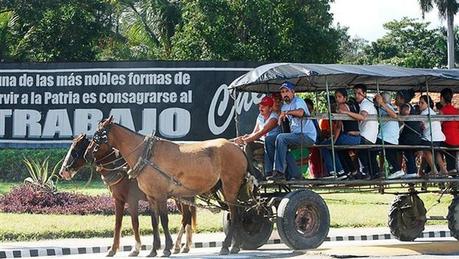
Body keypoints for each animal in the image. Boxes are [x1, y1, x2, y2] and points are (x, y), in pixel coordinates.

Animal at [60, 135, 197, 256]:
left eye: (75, 151)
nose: (63, 172)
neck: (121, 170)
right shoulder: (118, 200)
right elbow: (118, 223)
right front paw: (112, 249)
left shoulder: (132, 200)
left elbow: (135, 222)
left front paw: (136, 248)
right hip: (179, 199)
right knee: (187, 217)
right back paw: (185, 246)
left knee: (186, 217)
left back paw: (178, 245)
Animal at [85, 118, 252, 258]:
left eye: (98, 136)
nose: (87, 155)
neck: (147, 154)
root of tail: (237, 147)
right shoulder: (151, 197)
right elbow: (154, 222)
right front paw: (153, 250)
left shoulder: (160, 196)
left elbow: (164, 220)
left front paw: (166, 248)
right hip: (224, 188)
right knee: (237, 213)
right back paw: (235, 245)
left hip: (230, 186)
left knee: (234, 214)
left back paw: (225, 245)